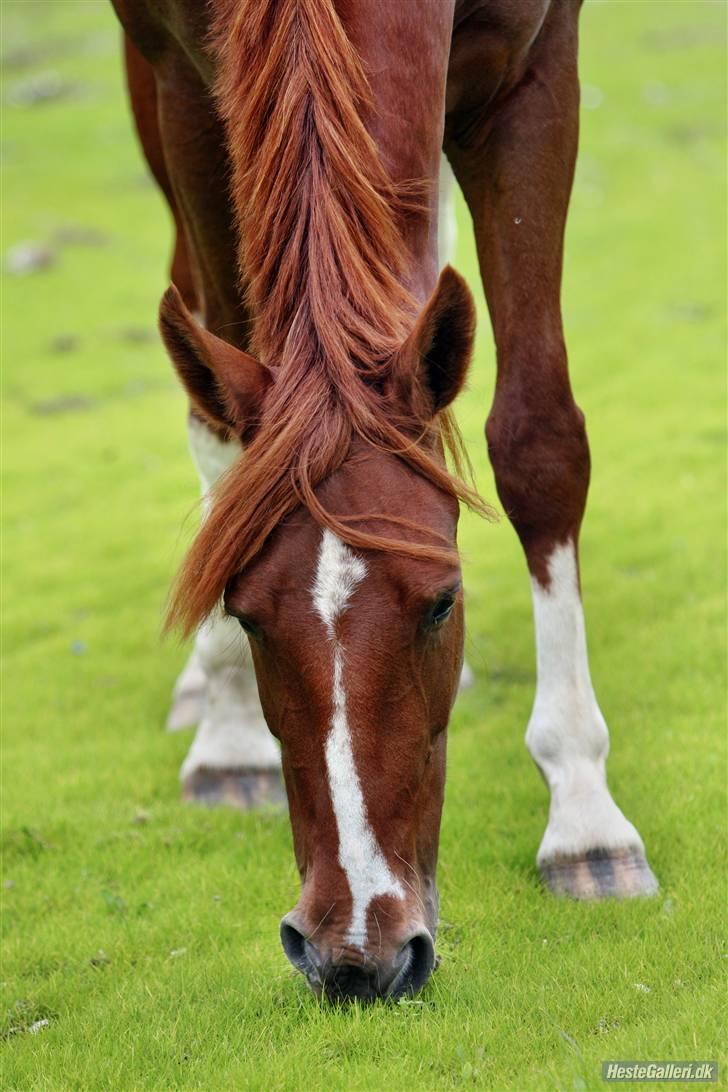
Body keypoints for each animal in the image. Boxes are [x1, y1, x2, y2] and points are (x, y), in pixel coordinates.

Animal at [112, 0, 659, 1000]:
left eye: (442, 603)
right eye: (245, 616)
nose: (356, 954)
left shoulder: (534, 71)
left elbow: (538, 439)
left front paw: (585, 822)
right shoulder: (186, 87)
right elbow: (224, 413)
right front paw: (229, 732)